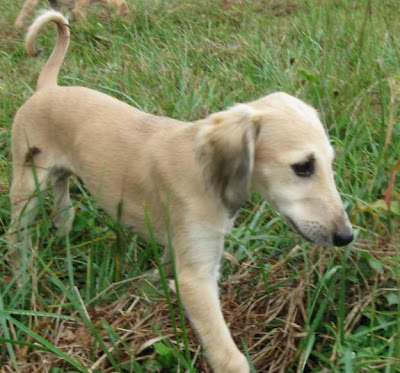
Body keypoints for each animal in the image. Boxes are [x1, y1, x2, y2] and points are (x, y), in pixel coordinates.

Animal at [7, 10, 354, 370]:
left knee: (62, 202)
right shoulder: (195, 278)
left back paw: (61, 230)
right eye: (303, 167)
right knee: (17, 236)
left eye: (330, 162)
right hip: (26, 184)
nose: (346, 237)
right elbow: (230, 359)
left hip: (57, 174)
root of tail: (48, 88)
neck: (205, 170)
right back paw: (22, 284)